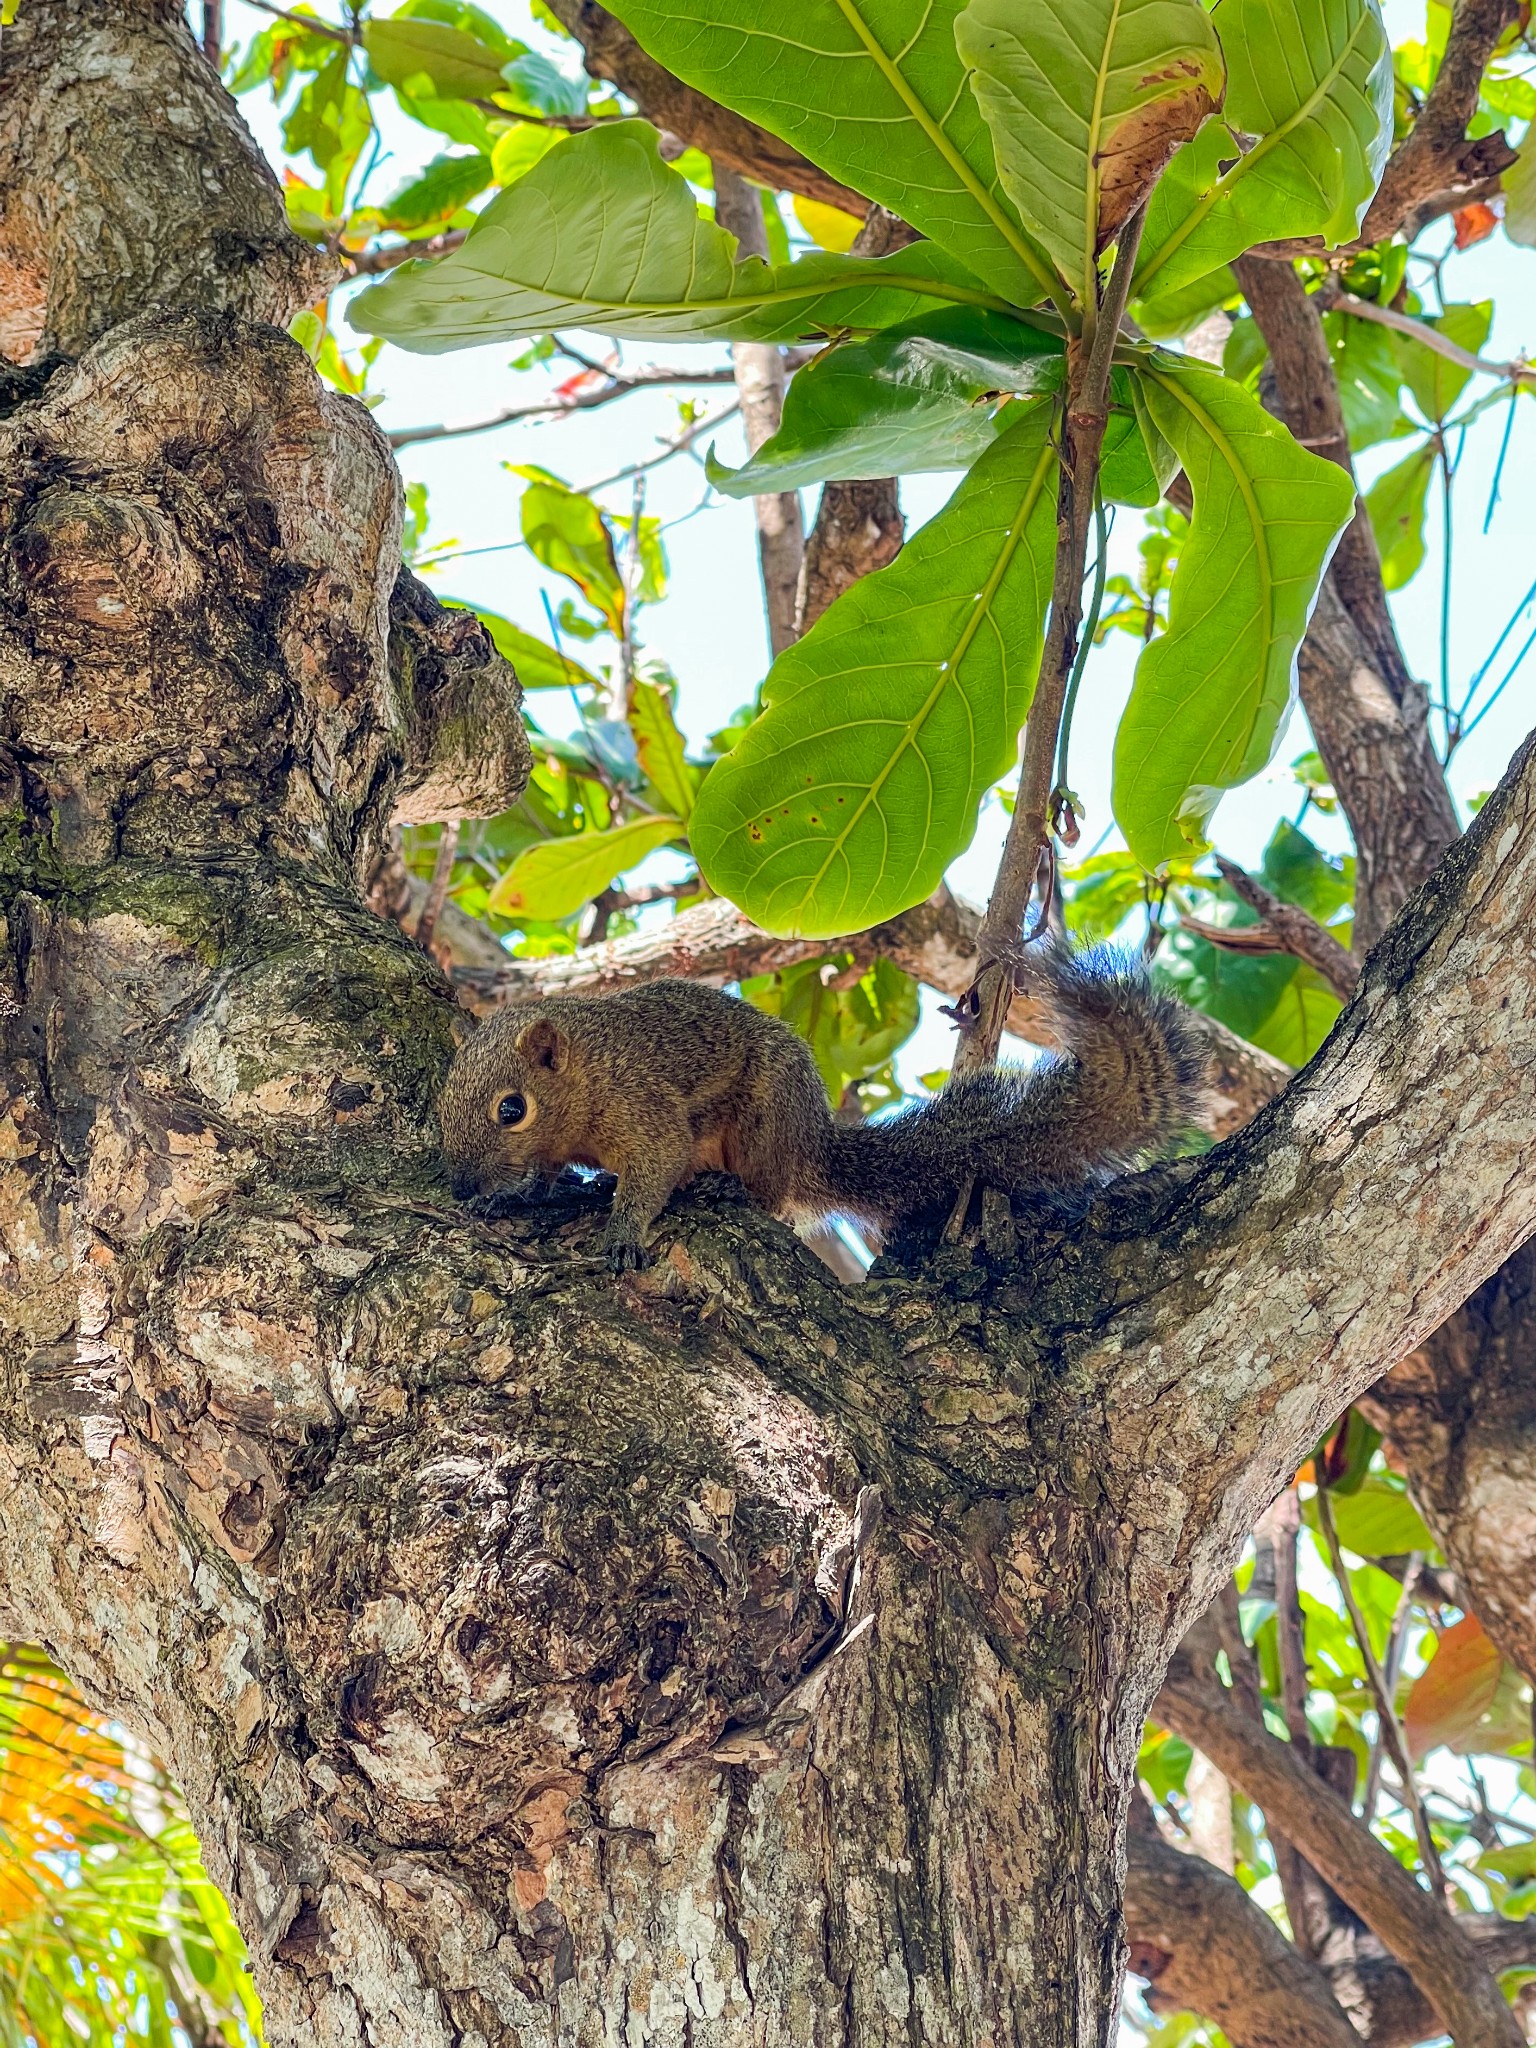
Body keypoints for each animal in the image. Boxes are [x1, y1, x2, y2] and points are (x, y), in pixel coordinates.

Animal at [438, 937, 1212, 1261]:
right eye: (445, 1104)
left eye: (512, 1109)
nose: (459, 1182)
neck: (585, 1075)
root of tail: (813, 1142)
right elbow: (545, 1176)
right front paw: (511, 1198)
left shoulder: (641, 1104)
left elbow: (656, 1162)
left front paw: (624, 1232)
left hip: (765, 1115)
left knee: (774, 1195)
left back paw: (729, 1189)